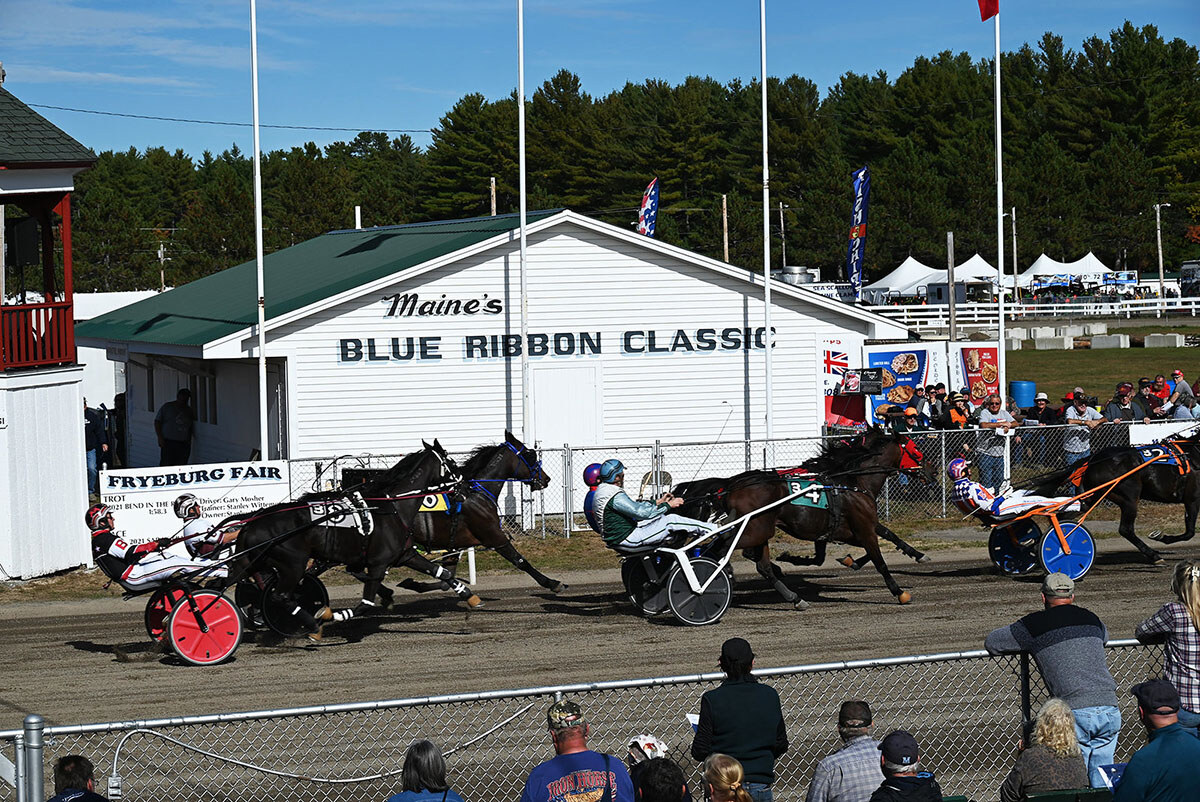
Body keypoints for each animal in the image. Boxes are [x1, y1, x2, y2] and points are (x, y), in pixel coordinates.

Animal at [226, 439, 470, 638]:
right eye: (450, 461)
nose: (464, 485)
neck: (390, 506)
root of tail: (252, 523)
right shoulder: (378, 563)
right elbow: (365, 603)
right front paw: (330, 615)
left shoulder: (405, 555)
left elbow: (442, 571)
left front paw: (468, 595)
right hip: (293, 564)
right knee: (281, 596)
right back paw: (310, 625)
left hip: (255, 561)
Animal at [403, 432, 566, 595]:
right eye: (530, 454)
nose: (546, 478)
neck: (476, 495)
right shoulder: (495, 537)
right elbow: (520, 561)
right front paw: (553, 583)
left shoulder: (454, 545)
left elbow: (446, 578)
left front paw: (416, 584)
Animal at [1022, 434, 1200, 561]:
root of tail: (1092, 459)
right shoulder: (1192, 499)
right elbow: (1190, 532)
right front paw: (1161, 537)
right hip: (1129, 498)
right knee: (1126, 529)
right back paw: (1154, 555)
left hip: (1092, 497)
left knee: (1063, 516)